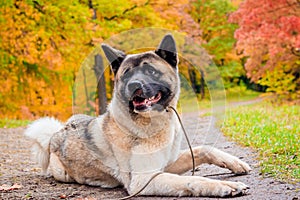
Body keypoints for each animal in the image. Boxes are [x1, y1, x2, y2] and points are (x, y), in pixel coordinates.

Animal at [25, 34, 251, 197]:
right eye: (126, 74)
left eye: (151, 72)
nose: (134, 85)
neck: (155, 123)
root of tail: (56, 133)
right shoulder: (144, 180)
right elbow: (193, 180)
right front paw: (224, 185)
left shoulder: (168, 164)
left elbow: (203, 149)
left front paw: (234, 163)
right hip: (62, 172)